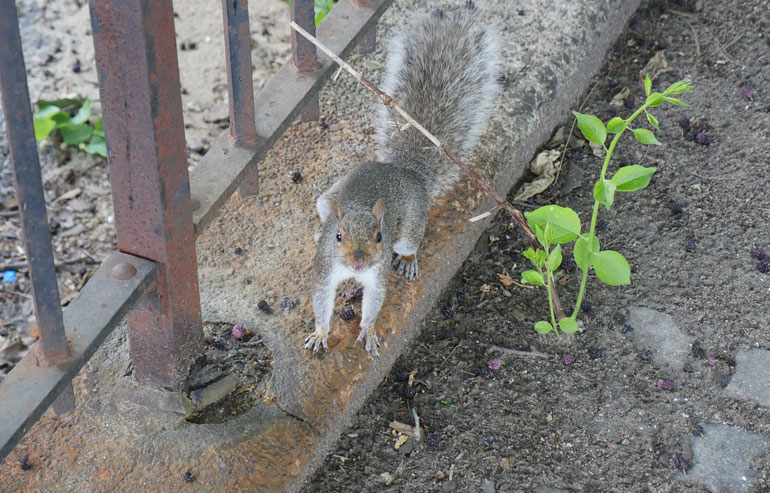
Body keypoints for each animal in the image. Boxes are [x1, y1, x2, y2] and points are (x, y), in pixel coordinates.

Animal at [304, 0, 500, 354]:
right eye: (338, 236)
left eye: (379, 236)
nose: (358, 264)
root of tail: (405, 172)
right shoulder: (325, 270)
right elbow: (322, 298)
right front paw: (321, 332)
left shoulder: (377, 271)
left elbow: (375, 299)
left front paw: (368, 330)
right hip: (326, 199)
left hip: (410, 228)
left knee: (410, 244)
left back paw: (408, 260)